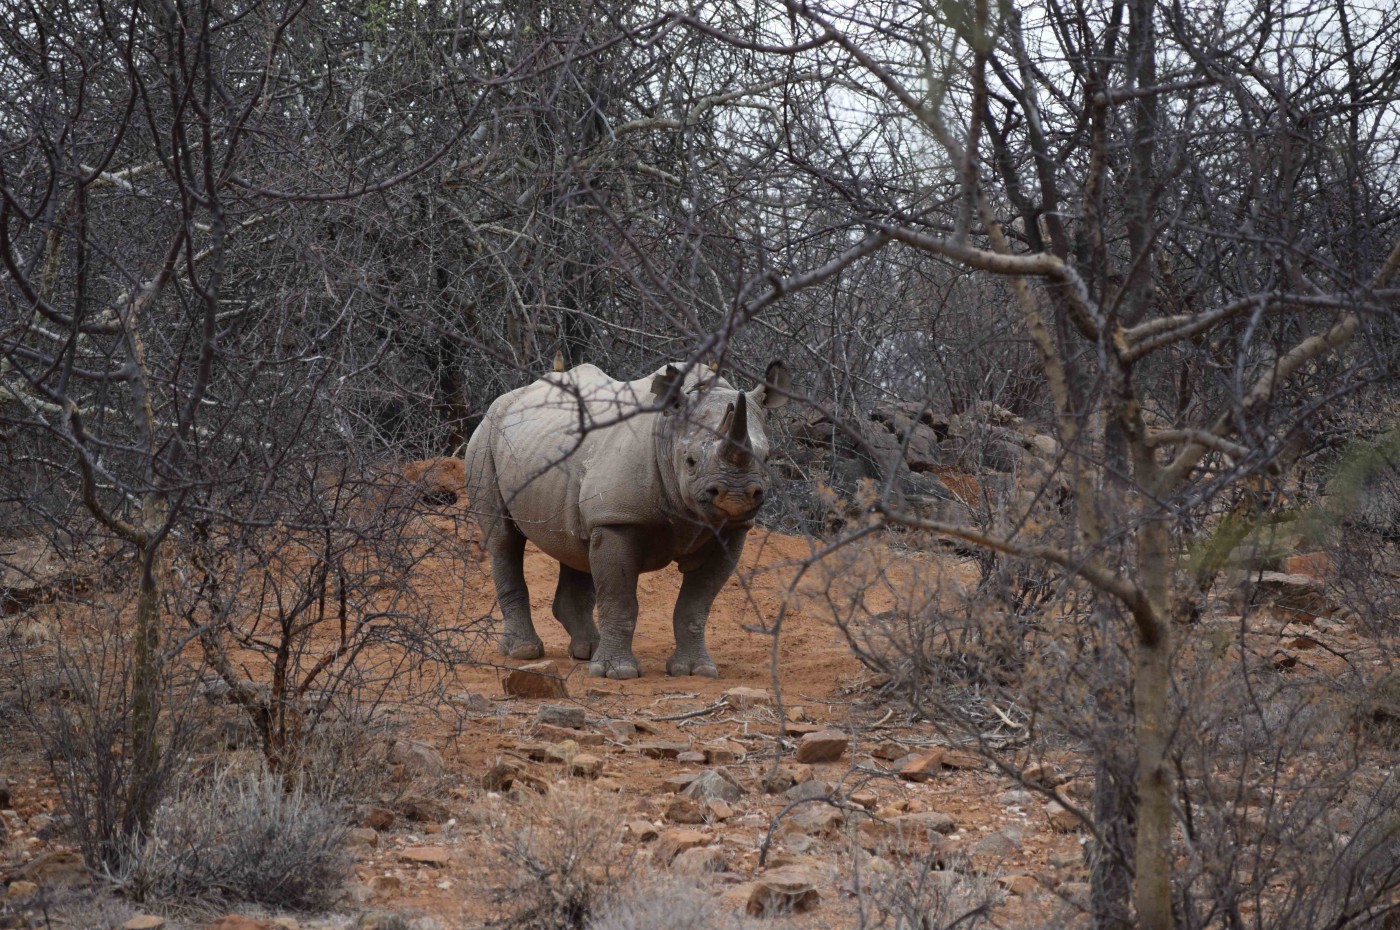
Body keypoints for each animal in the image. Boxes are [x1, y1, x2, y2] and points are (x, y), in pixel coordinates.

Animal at [464, 360, 790, 678]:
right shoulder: (617, 520)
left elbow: (696, 605)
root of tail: (504, 400)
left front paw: (696, 670)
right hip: (485, 436)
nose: (735, 496)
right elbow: (620, 600)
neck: (669, 433)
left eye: (767, 458)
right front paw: (615, 672)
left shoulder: (730, 530)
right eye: (691, 461)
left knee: (574, 545)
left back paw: (587, 651)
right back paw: (524, 652)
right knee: (503, 539)